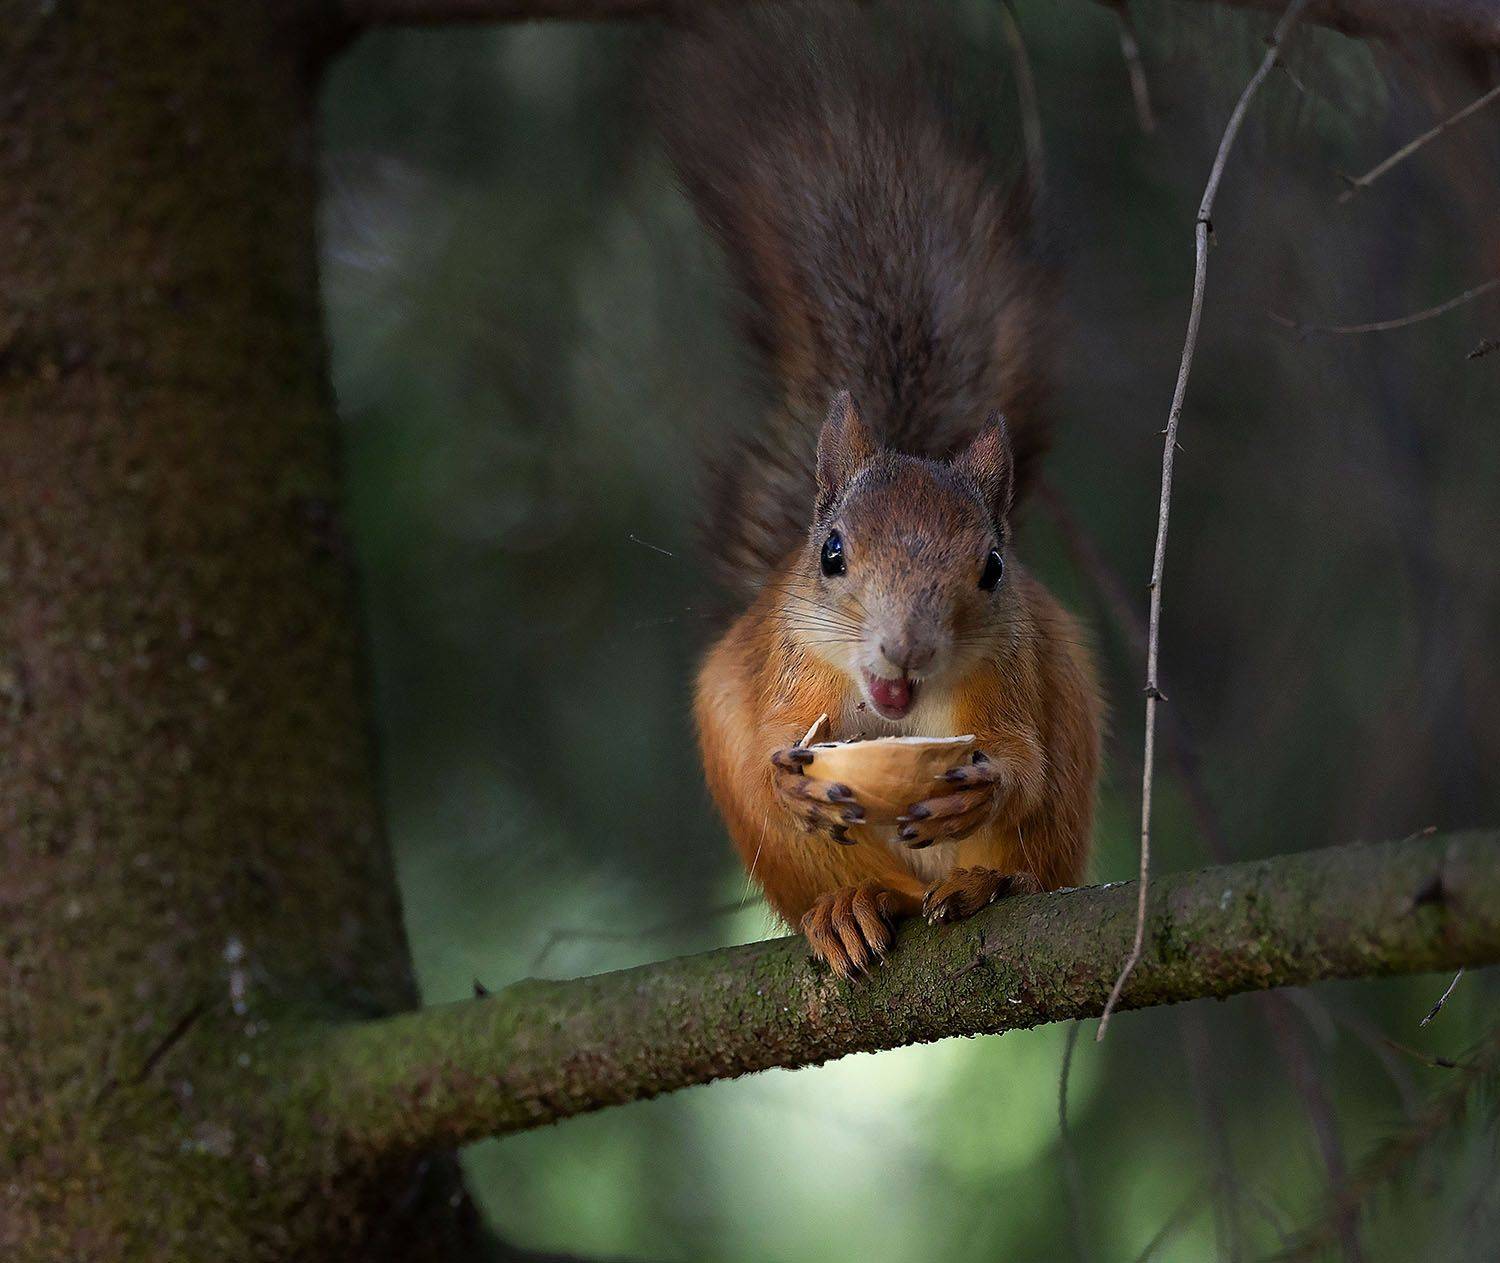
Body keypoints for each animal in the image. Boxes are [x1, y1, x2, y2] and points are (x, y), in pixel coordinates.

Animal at [657, 2, 1102, 978]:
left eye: (991, 568)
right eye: (831, 554)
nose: (903, 651)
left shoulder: (1011, 680)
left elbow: (1021, 763)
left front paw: (983, 789)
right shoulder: (791, 670)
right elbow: (779, 742)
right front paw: (794, 785)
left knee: (1025, 855)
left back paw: (981, 883)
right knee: (857, 885)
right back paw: (852, 908)